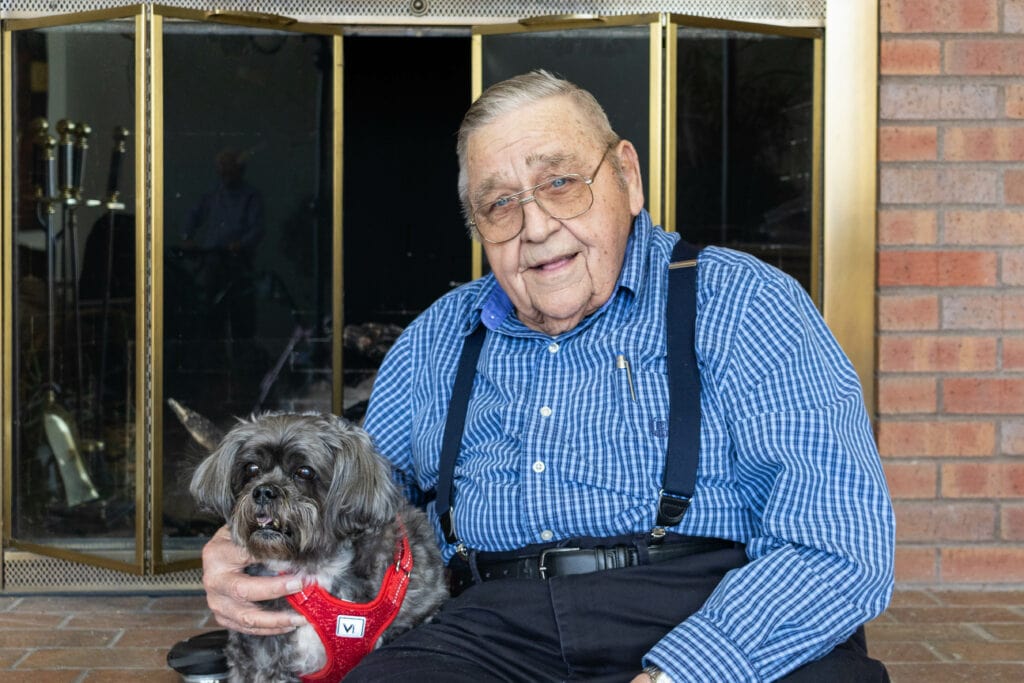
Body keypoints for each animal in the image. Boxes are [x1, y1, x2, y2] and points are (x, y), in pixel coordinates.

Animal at [192, 411, 448, 683]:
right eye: (251, 469)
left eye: (304, 471)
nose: (263, 491)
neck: (315, 565)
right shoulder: (261, 654)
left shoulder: (413, 618)